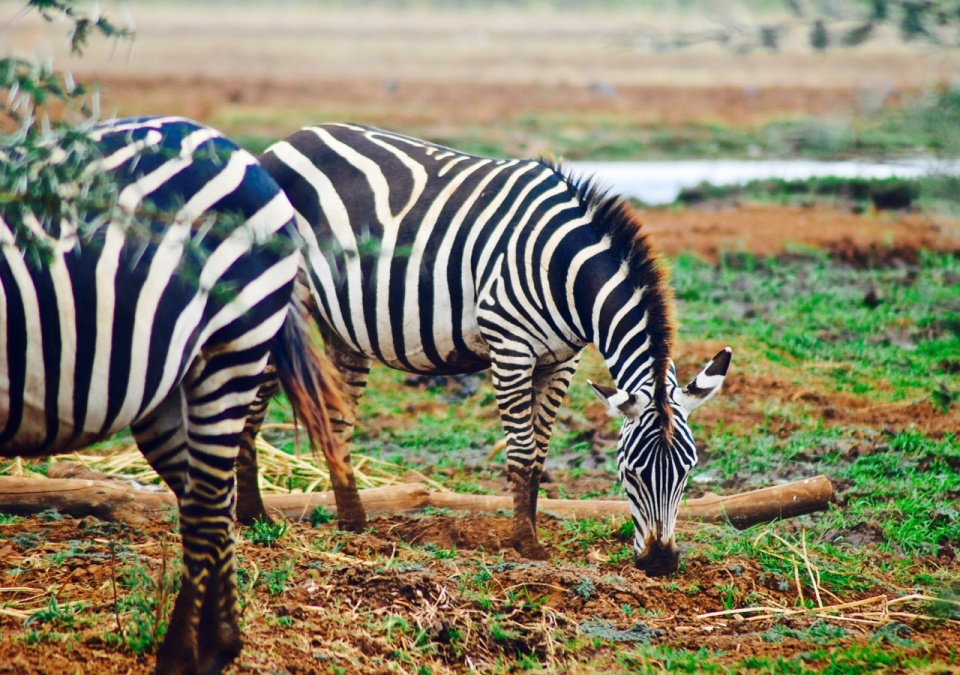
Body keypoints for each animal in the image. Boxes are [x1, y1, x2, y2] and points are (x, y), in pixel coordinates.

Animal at [0, 117, 352, 675]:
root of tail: (234, 149)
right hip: (167, 383)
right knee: (209, 497)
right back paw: (218, 645)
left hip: (230, 346)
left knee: (207, 504)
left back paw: (182, 657)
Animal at [244, 124, 732, 580]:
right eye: (629, 472)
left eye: (688, 471)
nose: (661, 563)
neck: (562, 270)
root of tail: (288, 140)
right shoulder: (511, 346)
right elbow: (521, 453)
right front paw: (526, 545)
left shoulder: (562, 360)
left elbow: (539, 454)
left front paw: (528, 533)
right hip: (279, 299)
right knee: (252, 405)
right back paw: (253, 518)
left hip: (344, 327)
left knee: (337, 421)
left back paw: (354, 527)